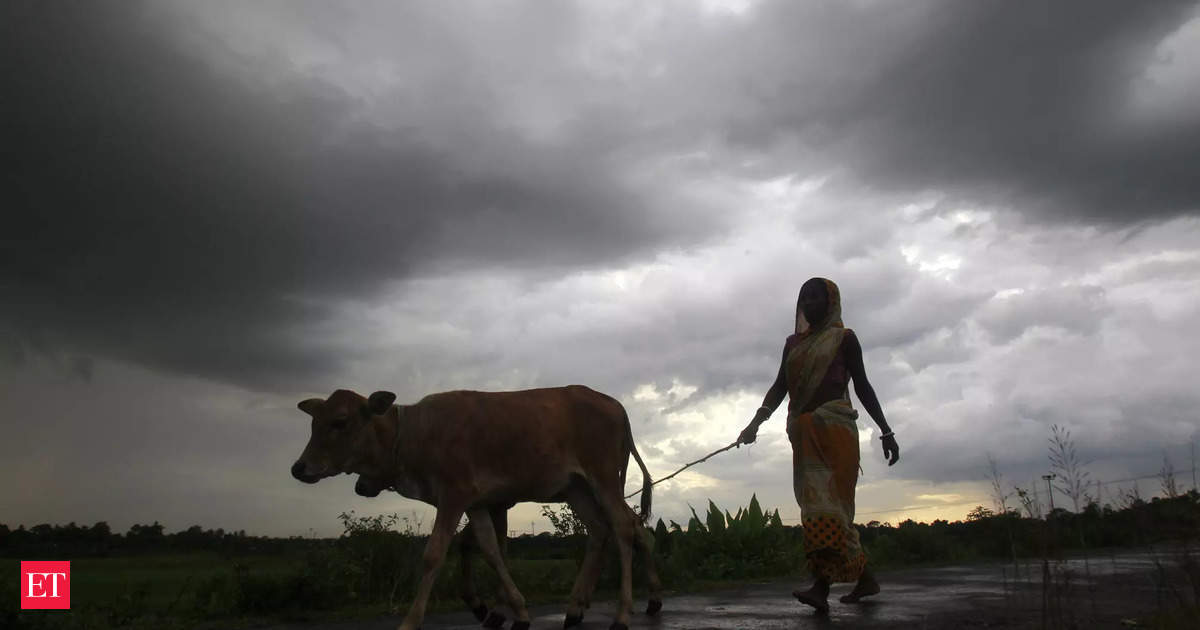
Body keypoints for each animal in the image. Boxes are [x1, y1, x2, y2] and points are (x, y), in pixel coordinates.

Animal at [295, 384, 657, 628]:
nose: (299, 468)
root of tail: (614, 405)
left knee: (625, 528)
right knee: (601, 531)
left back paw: (623, 614)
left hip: (604, 480)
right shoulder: (479, 503)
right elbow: (491, 549)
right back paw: (575, 610)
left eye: (340, 421)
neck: (412, 434)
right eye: (313, 423)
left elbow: (435, 555)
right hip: (577, 489)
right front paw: (516, 611)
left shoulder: (455, 496)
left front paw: (411, 621)